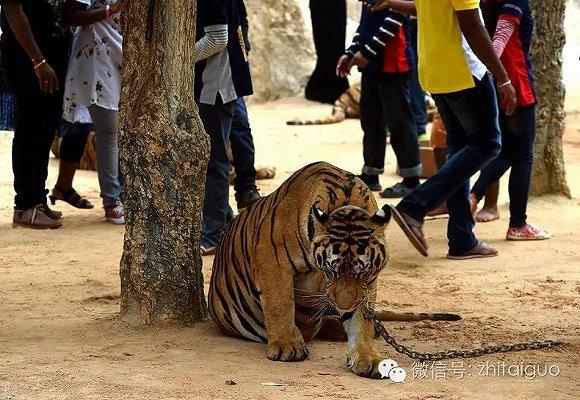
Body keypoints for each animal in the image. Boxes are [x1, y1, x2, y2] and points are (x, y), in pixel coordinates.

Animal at [206, 162, 460, 378]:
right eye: (332, 270)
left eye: (362, 272)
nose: (344, 306)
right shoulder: (271, 259)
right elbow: (280, 303)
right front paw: (287, 345)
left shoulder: (368, 284)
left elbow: (362, 318)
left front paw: (367, 357)